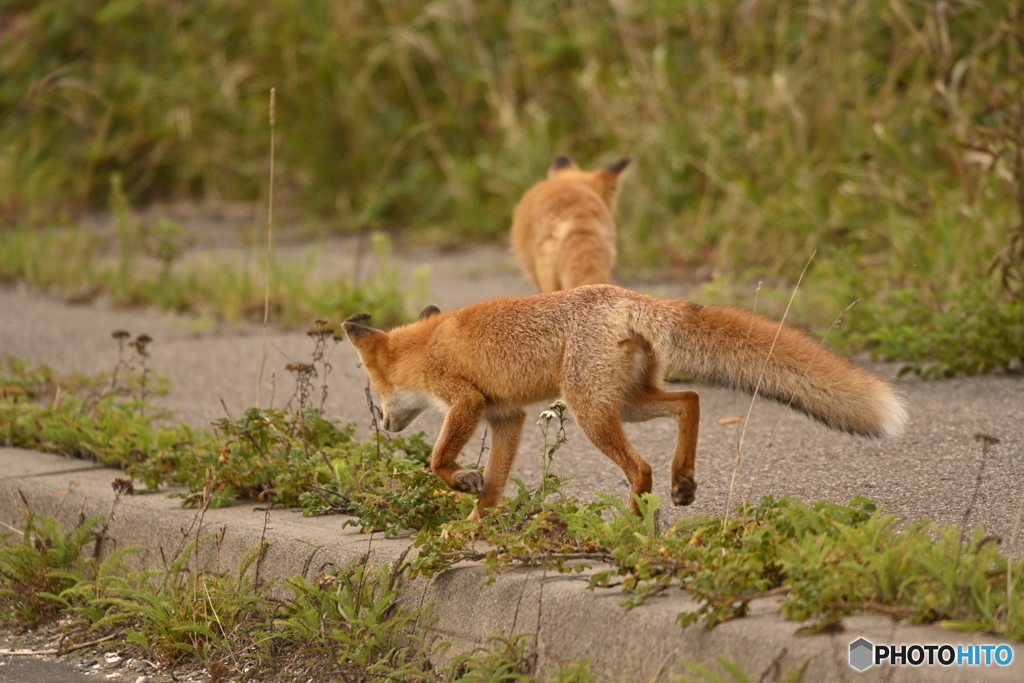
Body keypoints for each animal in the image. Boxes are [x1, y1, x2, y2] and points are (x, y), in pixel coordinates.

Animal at [344, 286, 905, 520]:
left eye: (373, 388)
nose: (383, 425)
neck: (429, 345)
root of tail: (626, 295)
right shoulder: (509, 415)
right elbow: (495, 488)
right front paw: (470, 534)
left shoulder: (465, 400)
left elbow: (436, 460)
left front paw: (459, 481)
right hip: (628, 402)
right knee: (690, 400)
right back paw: (683, 482)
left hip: (591, 411)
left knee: (641, 468)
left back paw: (631, 526)